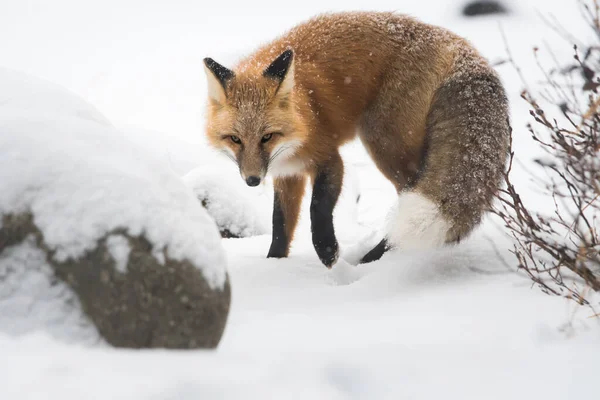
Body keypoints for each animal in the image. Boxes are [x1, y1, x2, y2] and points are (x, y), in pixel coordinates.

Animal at [204, 11, 508, 268]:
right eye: (235, 139)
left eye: (267, 136)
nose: (252, 180)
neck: (303, 113)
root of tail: (459, 45)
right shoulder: (287, 172)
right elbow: (280, 224)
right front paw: (275, 265)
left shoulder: (328, 158)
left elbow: (318, 209)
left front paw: (328, 253)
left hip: (383, 143)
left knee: (409, 192)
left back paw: (379, 257)